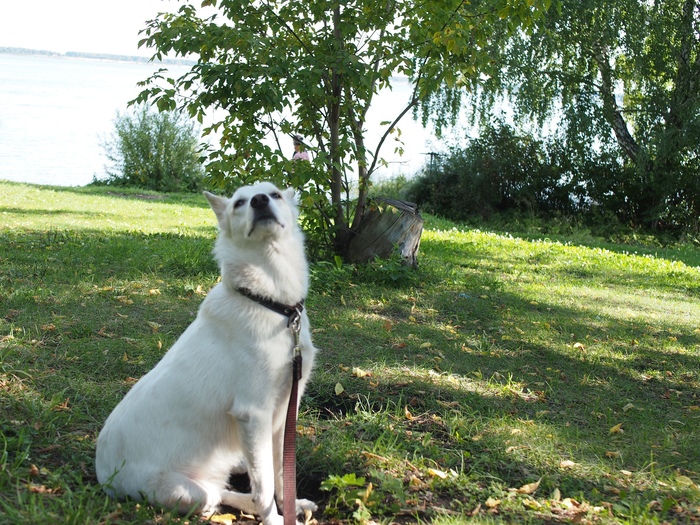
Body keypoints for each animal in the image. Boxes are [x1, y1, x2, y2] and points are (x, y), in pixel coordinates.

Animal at [95, 182, 318, 525]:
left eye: (275, 194)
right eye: (239, 202)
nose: (259, 201)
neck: (269, 302)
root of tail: (103, 476)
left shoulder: (284, 410)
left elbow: (283, 472)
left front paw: (292, 503)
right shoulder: (253, 413)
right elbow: (265, 485)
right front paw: (276, 519)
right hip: (190, 492)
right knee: (220, 495)